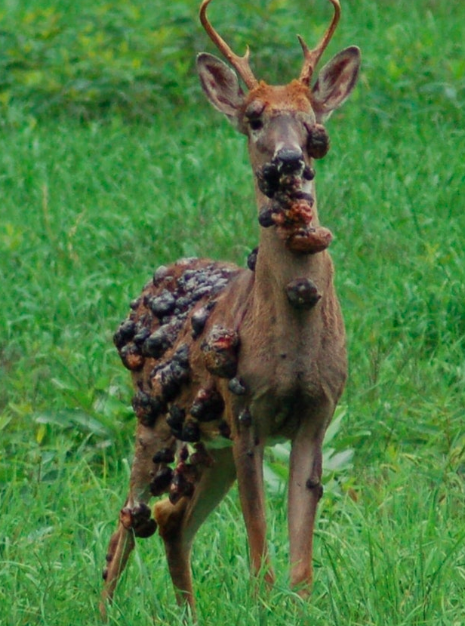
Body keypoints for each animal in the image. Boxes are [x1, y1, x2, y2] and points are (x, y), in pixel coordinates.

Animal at [100, 0, 358, 616]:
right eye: (255, 117)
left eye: (313, 122)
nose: (290, 159)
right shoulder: (246, 414)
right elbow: (260, 542)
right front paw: (263, 604)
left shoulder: (318, 413)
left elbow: (301, 558)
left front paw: (299, 606)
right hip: (153, 417)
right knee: (126, 522)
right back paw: (103, 610)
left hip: (201, 436)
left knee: (170, 518)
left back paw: (188, 613)